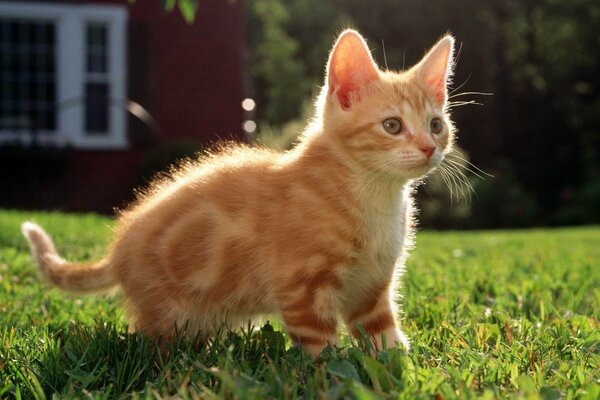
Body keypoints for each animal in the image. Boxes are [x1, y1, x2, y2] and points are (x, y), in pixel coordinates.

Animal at [22, 30, 454, 356]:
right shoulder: (301, 287)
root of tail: (119, 251)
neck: (374, 194)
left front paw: (396, 367)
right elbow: (321, 348)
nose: (429, 148)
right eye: (393, 126)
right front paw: (330, 376)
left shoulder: (373, 286)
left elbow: (383, 337)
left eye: (435, 125)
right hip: (170, 314)